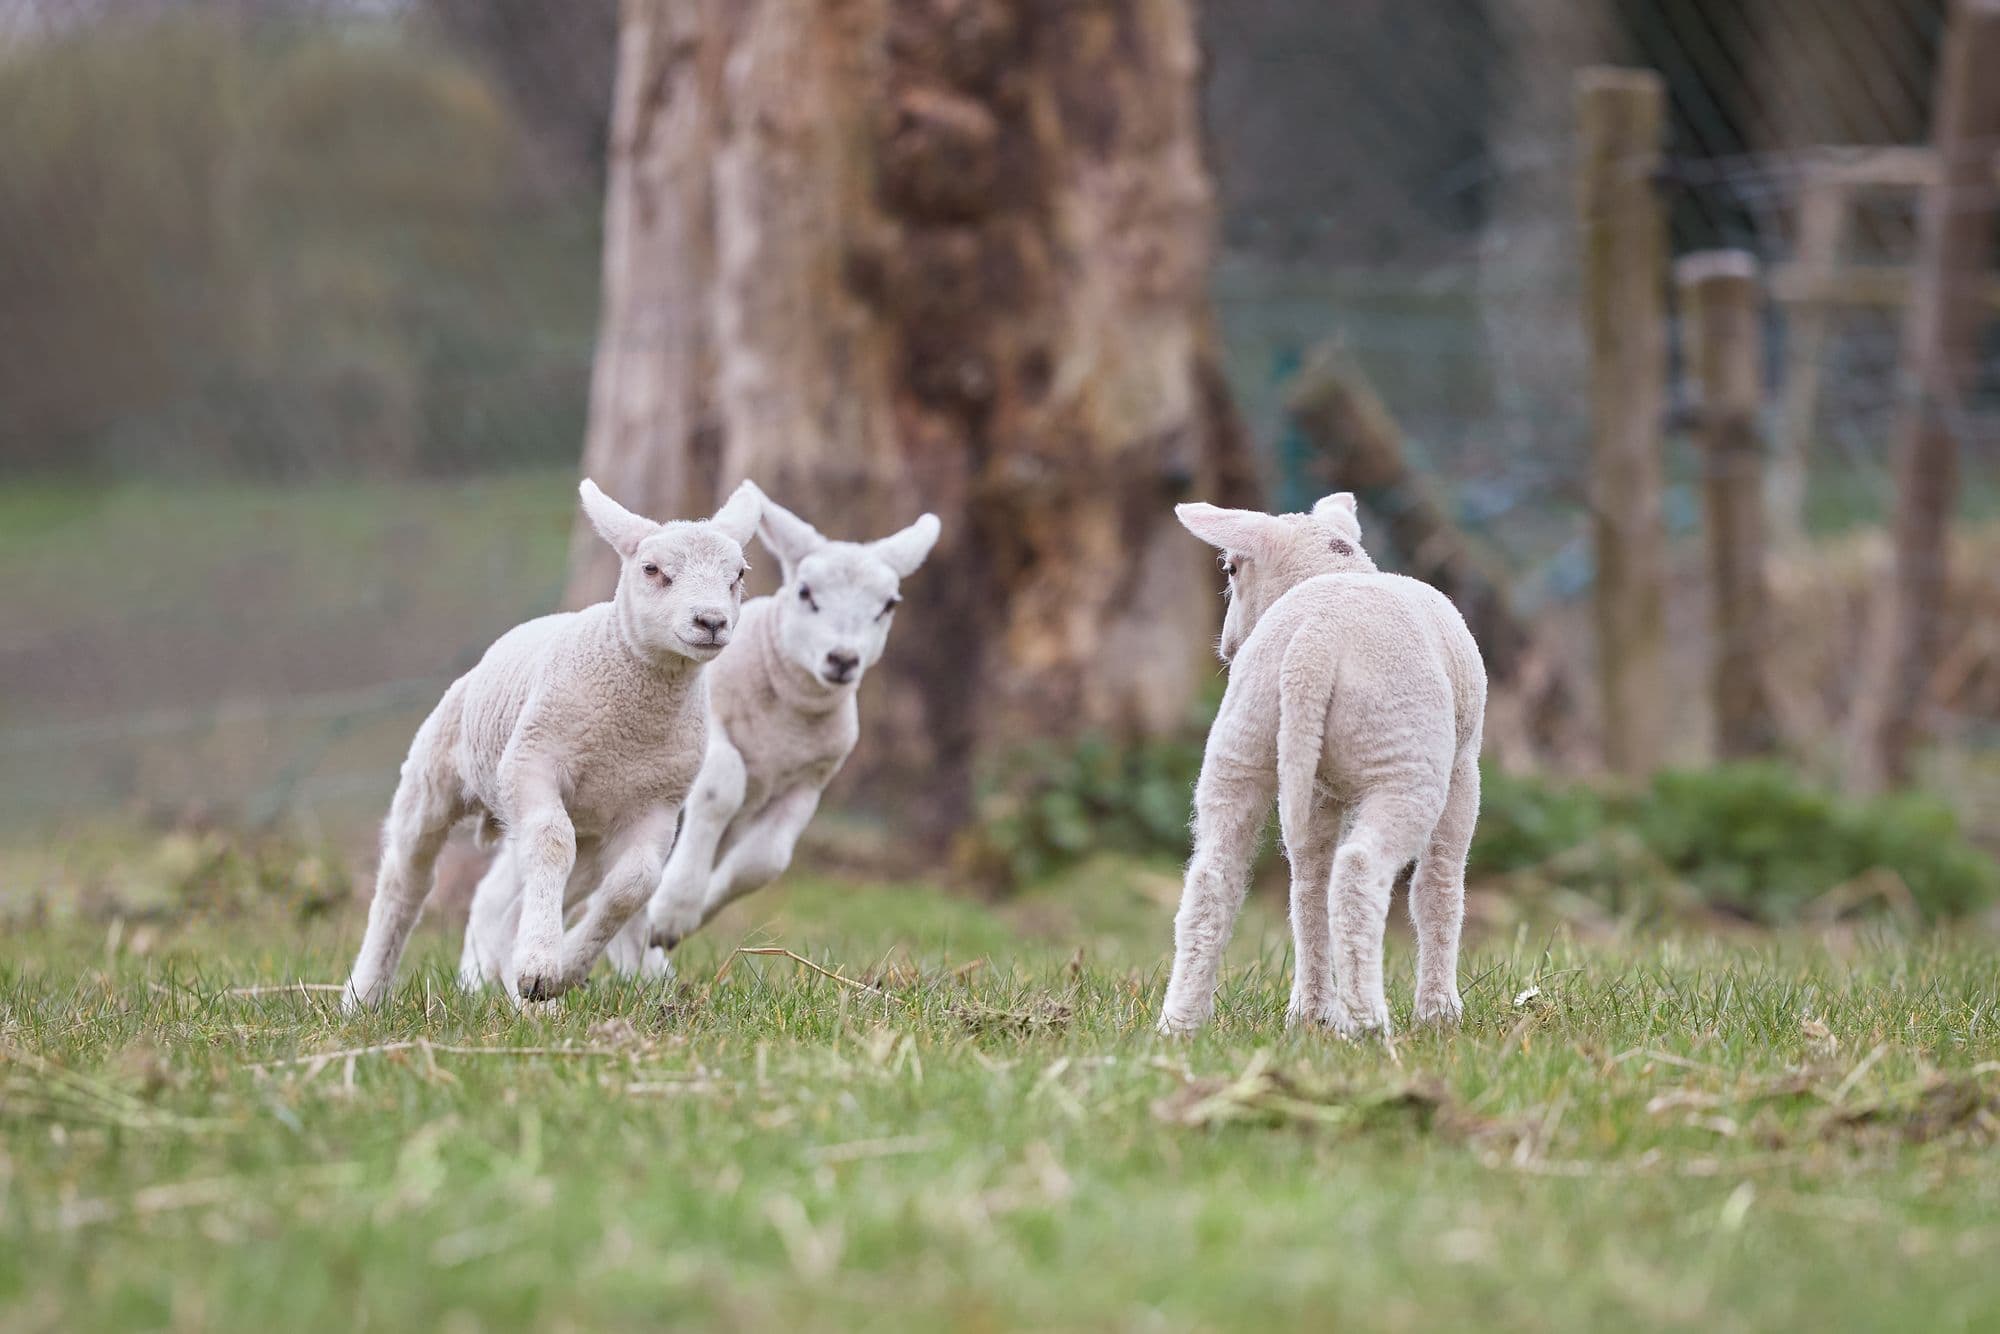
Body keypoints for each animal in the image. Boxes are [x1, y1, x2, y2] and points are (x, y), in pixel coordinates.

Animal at [342, 478, 762, 1010]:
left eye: (738, 574)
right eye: (652, 569)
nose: (711, 622)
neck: (632, 725)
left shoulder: (658, 802)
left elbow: (636, 883)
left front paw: (560, 970)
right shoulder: (532, 764)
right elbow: (550, 840)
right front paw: (542, 965)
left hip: (594, 835)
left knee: (520, 906)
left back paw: (526, 993)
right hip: (433, 777)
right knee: (406, 880)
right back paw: (364, 994)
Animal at [1157, 492, 1486, 1037]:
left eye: (1230, 568)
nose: (1226, 647)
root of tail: (1314, 644)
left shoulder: (1315, 787)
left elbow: (1308, 886)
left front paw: (1311, 1012)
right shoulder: (1464, 767)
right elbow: (1439, 886)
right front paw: (1441, 1013)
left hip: (1241, 739)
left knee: (1213, 878)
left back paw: (1180, 1023)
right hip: (1405, 756)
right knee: (1357, 874)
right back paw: (1369, 1022)